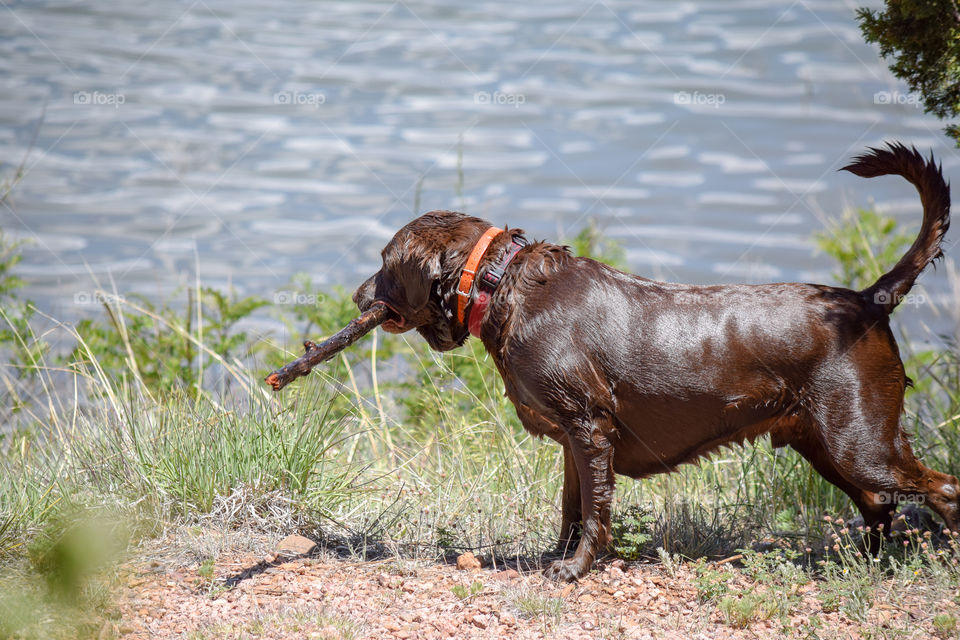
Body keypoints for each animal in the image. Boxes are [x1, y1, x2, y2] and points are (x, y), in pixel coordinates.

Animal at [352, 144, 952, 580]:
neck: (500, 284)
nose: (358, 297)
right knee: (878, 503)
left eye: (384, 263)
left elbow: (594, 513)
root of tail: (868, 300)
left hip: (858, 441)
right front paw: (558, 556)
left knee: (941, 489)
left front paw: (573, 570)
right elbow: (572, 508)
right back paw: (862, 565)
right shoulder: (575, 437)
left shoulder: (589, 428)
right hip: (826, 441)